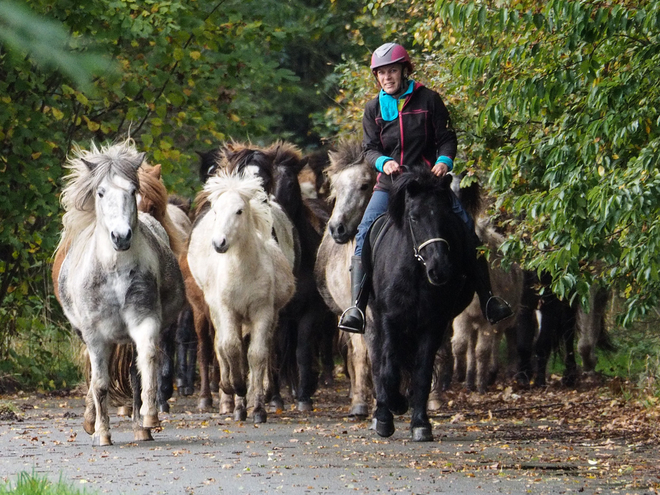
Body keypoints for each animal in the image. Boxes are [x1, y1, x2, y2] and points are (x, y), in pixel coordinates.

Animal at [52, 140, 184, 446]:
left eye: (132, 191)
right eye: (101, 192)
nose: (121, 236)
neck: (114, 272)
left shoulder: (145, 321)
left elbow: (146, 360)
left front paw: (149, 417)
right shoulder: (94, 334)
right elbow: (99, 381)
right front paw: (102, 432)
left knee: (134, 372)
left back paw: (140, 426)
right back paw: (93, 421)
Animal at [186, 170, 294, 422]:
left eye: (239, 210)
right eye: (216, 211)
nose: (219, 243)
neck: (243, 272)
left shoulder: (262, 312)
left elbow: (257, 355)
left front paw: (258, 408)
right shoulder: (228, 311)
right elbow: (231, 348)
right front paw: (235, 387)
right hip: (215, 313)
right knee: (220, 345)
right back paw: (232, 401)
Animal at [366, 167, 474, 442]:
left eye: (446, 216)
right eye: (414, 218)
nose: (439, 269)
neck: (415, 271)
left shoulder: (433, 323)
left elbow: (422, 372)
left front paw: (420, 424)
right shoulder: (390, 319)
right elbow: (389, 369)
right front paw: (390, 412)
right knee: (380, 363)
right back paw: (383, 412)